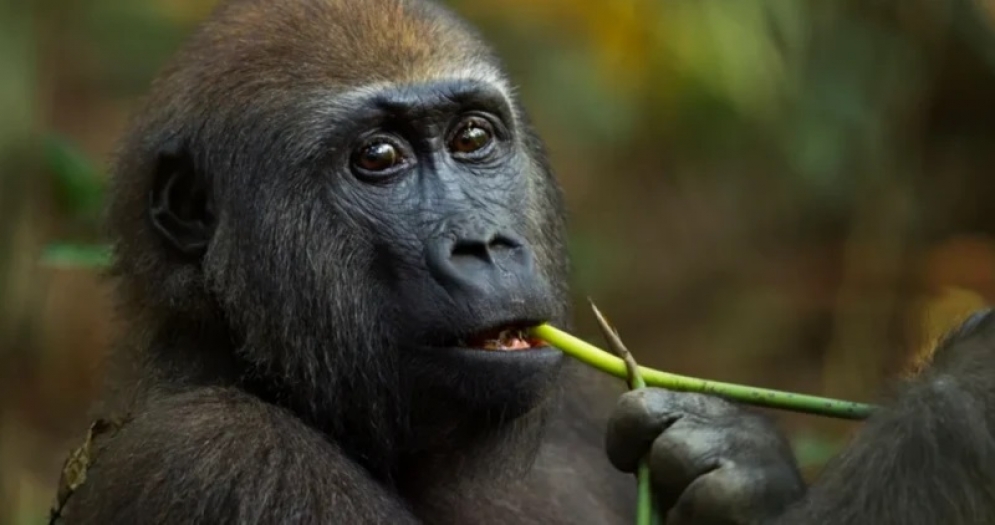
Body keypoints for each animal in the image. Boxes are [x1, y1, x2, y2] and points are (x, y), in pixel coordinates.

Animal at [52, 1, 995, 524]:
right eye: (378, 159)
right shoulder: (218, 457)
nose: (484, 243)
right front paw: (961, 399)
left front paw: (735, 459)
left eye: (473, 139)